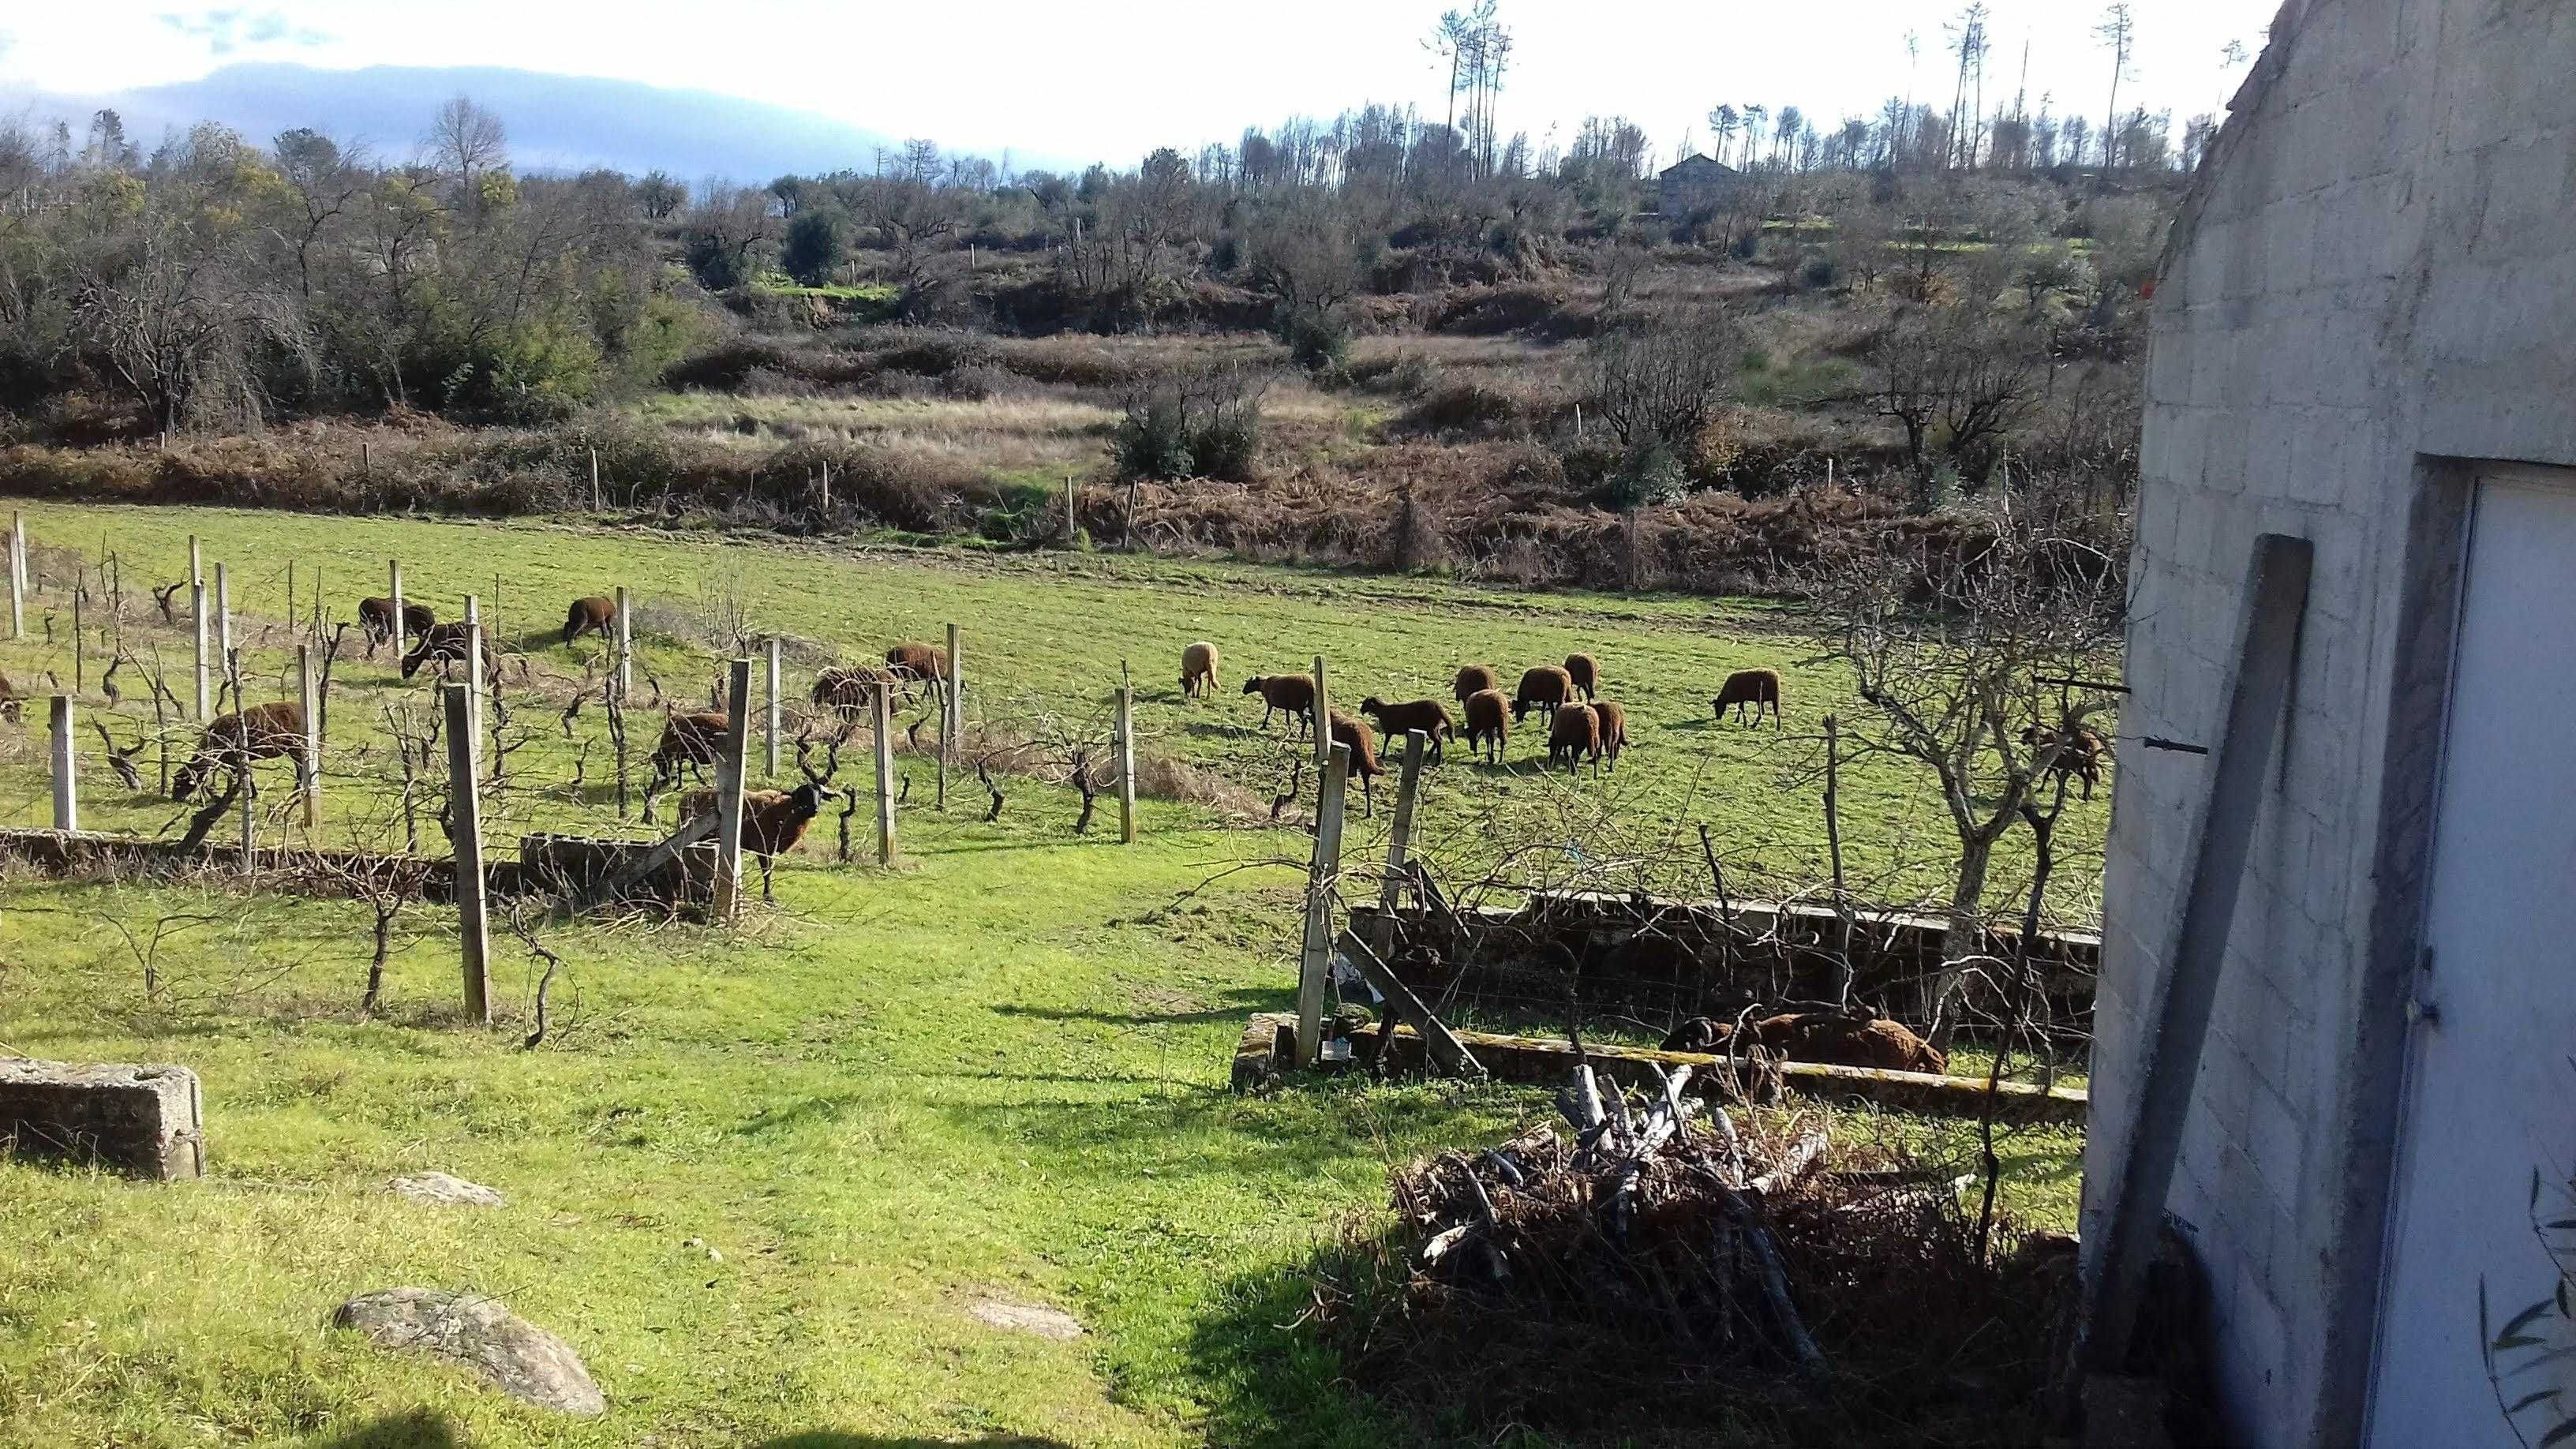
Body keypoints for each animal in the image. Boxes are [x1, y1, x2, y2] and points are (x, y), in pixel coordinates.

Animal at [171, 696, 306, 794]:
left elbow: (244, 776)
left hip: (297, 748)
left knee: (301, 769)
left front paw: (251, 793)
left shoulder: (235, 759)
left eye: (179, 784)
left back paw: (298, 789)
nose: (175, 799)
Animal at [399, 619, 500, 680]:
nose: (403, 677)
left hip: (485, 652)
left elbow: (436, 665)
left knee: (489, 665)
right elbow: (445, 667)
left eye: (407, 665)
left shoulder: (437, 655)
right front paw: (448, 678)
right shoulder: (445, 657)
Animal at [675, 778, 834, 892]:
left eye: (820, 794)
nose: (814, 809)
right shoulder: (762, 847)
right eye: (803, 794)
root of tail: (685, 797)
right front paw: (768, 898)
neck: (782, 813)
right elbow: (767, 872)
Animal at [1350, 696, 1452, 763]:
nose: (1361, 710)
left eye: (1366, 703)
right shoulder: (1402, 731)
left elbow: (1386, 743)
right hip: (1435, 728)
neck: (1382, 711)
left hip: (1431, 728)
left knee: (1439, 741)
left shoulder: (1389, 730)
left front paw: (1382, 755)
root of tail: (1439, 708)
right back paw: (1430, 755)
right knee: (1439, 739)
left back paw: (1437, 762)